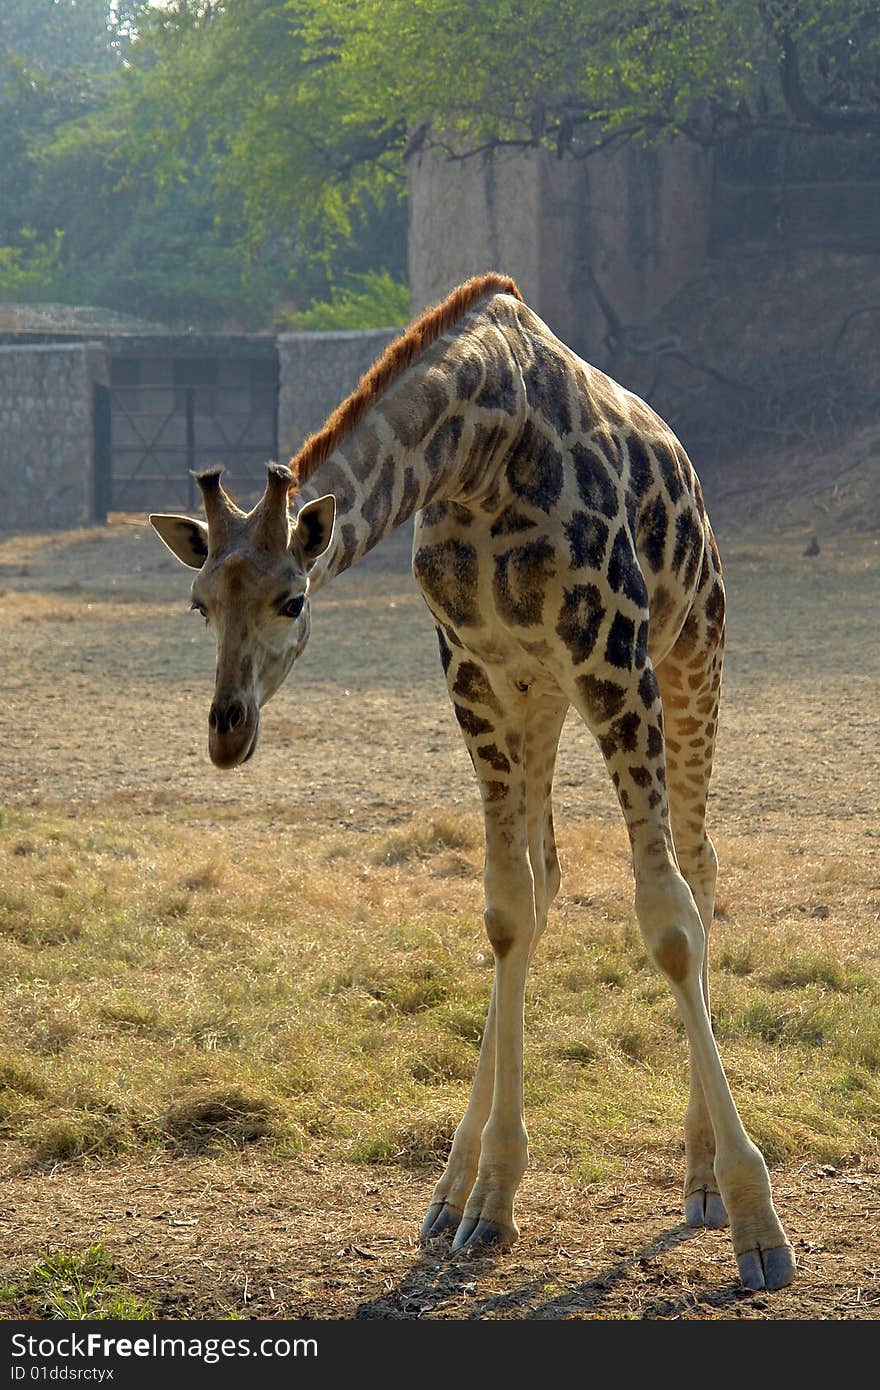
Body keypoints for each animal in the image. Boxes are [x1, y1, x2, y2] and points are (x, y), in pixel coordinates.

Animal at [149, 271, 795, 1289]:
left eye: (293, 598)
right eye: (199, 602)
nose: (228, 733)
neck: (480, 450)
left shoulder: (615, 659)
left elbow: (668, 923)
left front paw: (757, 1223)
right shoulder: (477, 674)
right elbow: (505, 912)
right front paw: (486, 1197)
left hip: (694, 649)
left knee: (699, 866)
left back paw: (695, 1179)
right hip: (543, 700)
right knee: (548, 879)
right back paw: (456, 1190)